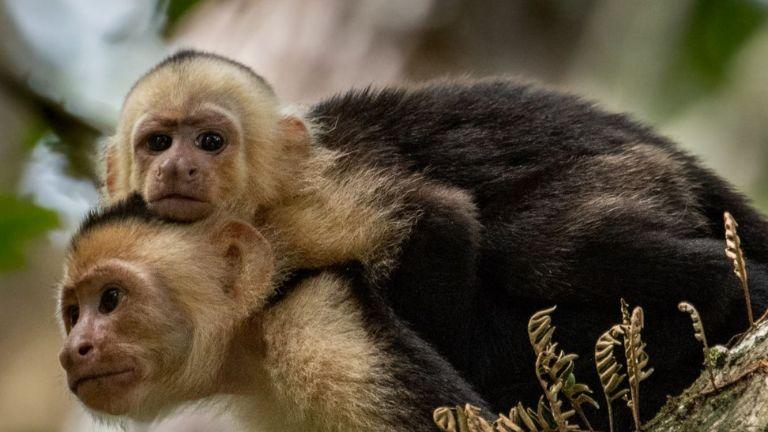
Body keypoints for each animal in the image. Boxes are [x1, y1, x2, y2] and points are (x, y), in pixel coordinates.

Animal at [102, 50, 768, 426]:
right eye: (157, 143)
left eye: (210, 141)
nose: (179, 168)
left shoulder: (304, 209)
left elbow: (439, 221)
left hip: (635, 176)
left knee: (544, 249)